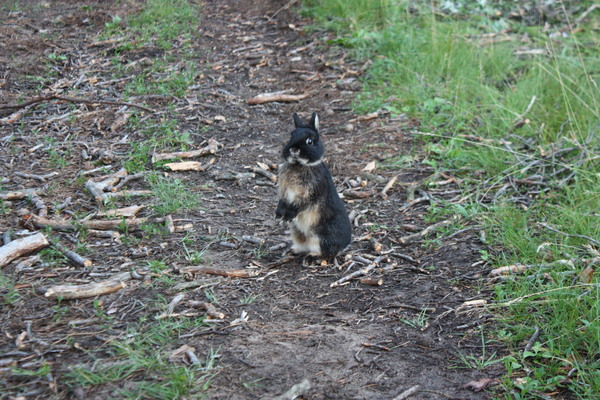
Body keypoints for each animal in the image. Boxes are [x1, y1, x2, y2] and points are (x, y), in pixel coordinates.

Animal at [276, 111, 352, 260]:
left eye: (309, 141)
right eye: (291, 135)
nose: (294, 149)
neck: (299, 165)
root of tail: (346, 244)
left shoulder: (311, 191)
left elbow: (301, 204)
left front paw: (287, 216)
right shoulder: (284, 192)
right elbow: (283, 201)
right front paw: (279, 215)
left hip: (320, 235)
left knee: (326, 252)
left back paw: (312, 257)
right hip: (297, 232)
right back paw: (292, 251)